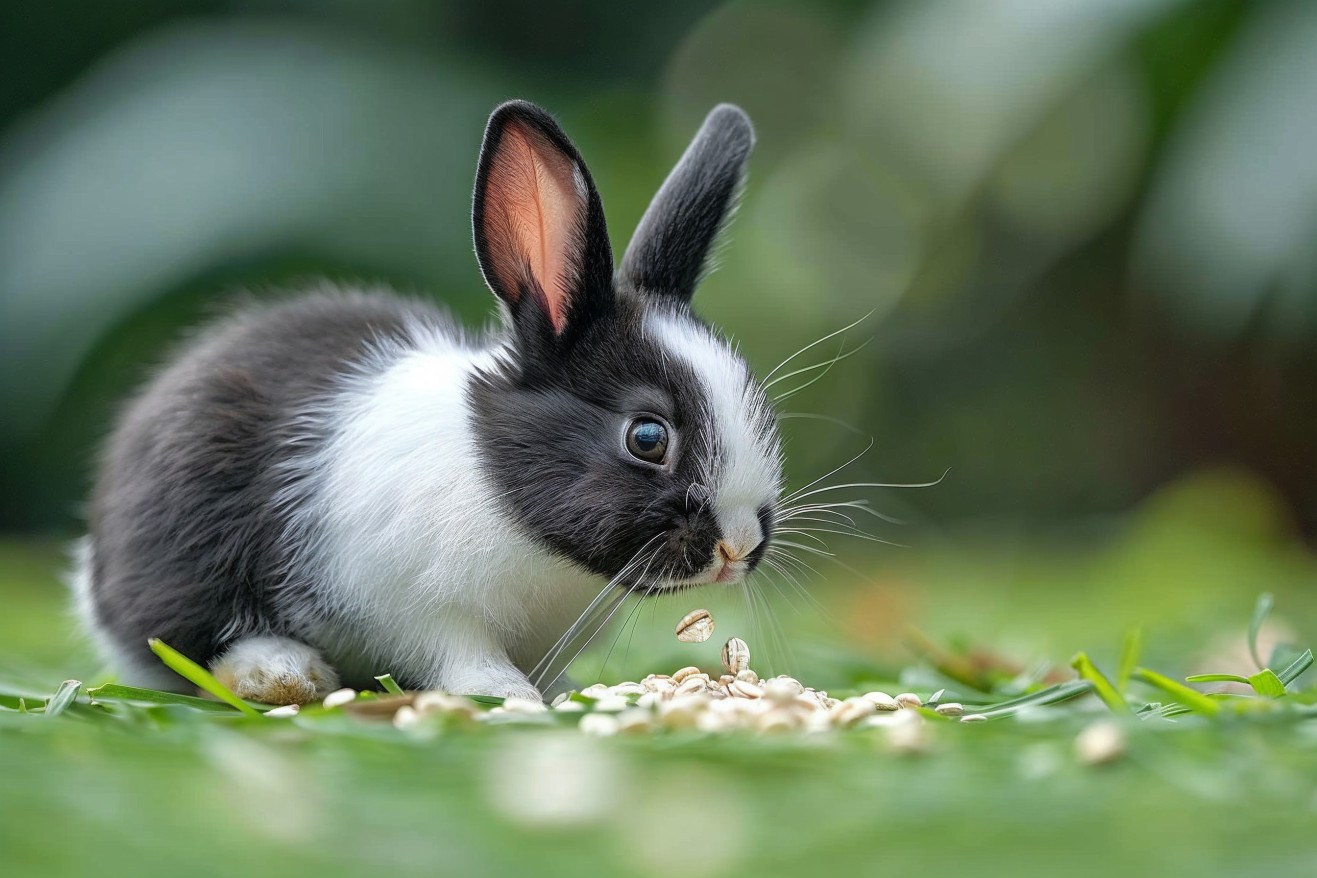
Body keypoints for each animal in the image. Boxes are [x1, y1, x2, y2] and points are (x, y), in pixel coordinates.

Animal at [74, 101, 779, 705]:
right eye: (647, 437)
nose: (738, 546)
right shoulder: (422, 609)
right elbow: (462, 655)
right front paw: (511, 697)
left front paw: (565, 693)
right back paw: (281, 675)